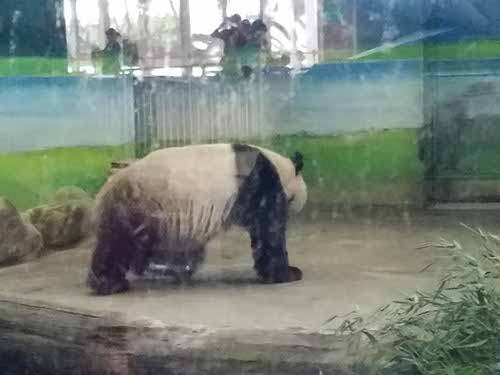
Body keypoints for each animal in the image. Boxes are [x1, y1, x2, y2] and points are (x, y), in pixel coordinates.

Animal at [89, 142, 308, 296]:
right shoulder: (259, 184)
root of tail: (107, 188)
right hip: (140, 206)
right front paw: (288, 273)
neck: (280, 167)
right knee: (118, 244)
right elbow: (267, 231)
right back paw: (109, 283)